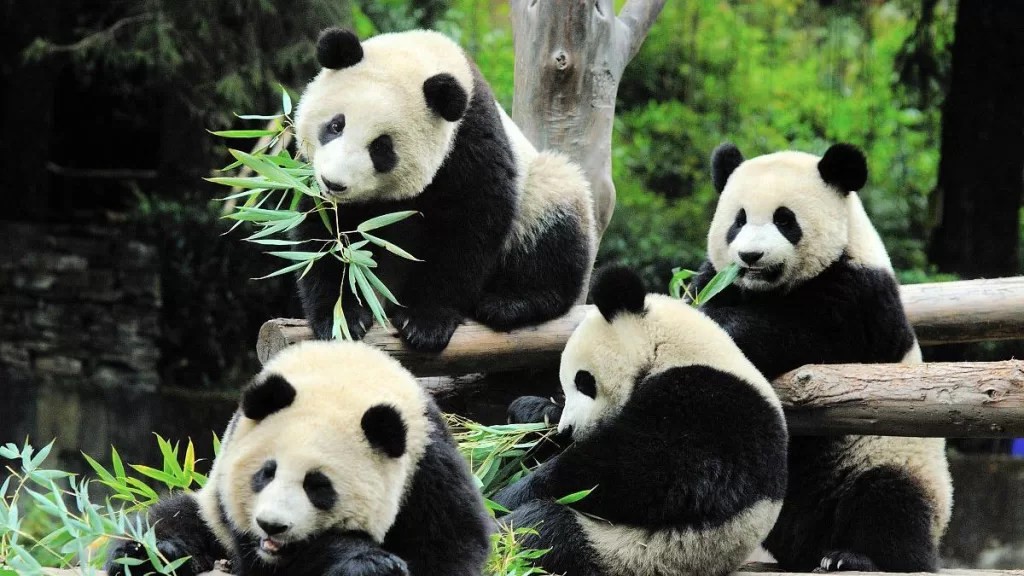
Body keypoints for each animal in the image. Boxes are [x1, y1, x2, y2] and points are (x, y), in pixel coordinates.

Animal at [106, 340, 491, 576]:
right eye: (265, 473)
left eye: (318, 486)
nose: (272, 525)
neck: (344, 380)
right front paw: (366, 562)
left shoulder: (428, 465)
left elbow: (448, 545)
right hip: (208, 513)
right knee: (166, 521)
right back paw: (155, 555)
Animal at [291, 27, 596, 352]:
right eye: (336, 125)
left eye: (381, 148)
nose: (333, 183)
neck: (428, 57)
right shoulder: (310, 181)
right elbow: (323, 235)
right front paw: (341, 317)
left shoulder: (469, 141)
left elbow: (470, 227)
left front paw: (425, 323)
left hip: (542, 194)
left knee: (554, 225)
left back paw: (510, 303)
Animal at [494, 266, 789, 576]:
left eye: (583, 380)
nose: (568, 429)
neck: (673, 347)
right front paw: (529, 415)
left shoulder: (713, 405)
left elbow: (646, 472)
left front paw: (507, 497)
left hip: (631, 553)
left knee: (540, 530)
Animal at [691, 142, 953, 572]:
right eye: (738, 220)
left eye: (785, 220)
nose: (750, 256)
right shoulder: (721, 279)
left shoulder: (857, 298)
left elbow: (796, 335)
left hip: (896, 459)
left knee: (891, 502)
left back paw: (855, 557)